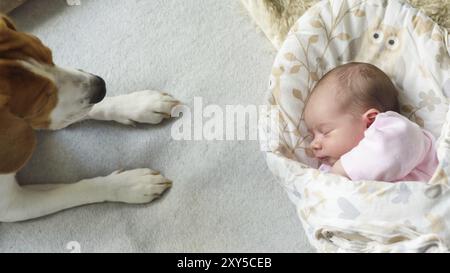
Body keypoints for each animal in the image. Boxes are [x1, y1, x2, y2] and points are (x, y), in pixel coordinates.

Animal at [0, 14, 179, 221]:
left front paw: (137, 104)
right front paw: (130, 184)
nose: (101, 87)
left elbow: (85, 110)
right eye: (42, 101)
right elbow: (72, 191)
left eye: (50, 55)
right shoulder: (11, 206)